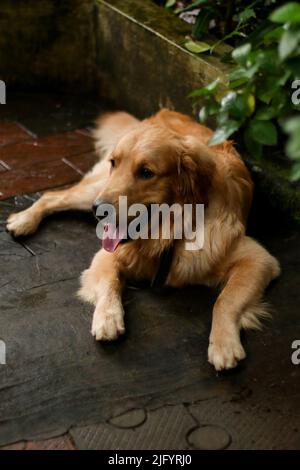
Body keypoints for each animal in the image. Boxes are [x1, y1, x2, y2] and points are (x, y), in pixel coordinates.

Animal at [5, 110, 280, 370]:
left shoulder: (257, 259)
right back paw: (23, 220)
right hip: (94, 190)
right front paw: (108, 317)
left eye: (146, 172)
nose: (99, 210)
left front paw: (223, 344)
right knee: (52, 195)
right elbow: (111, 281)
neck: (170, 233)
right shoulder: (108, 253)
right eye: (115, 163)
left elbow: (225, 300)